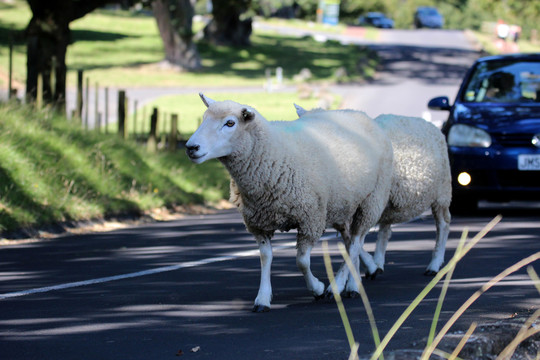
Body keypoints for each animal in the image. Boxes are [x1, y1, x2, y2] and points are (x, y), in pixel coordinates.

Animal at [186, 93, 392, 312]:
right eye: (204, 118)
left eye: (230, 123)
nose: (191, 147)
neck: (274, 154)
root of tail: (360, 114)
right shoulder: (259, 223)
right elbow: (265, 258)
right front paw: (262, 299)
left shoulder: (310, 219)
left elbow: (301, 261)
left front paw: (318, 289)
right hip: (342, 205)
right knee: (351, 242)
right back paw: (354, 283)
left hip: (371, 200)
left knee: (354, 244)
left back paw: (337, 287)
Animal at [296, 104, 452, 278]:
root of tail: (428, 124)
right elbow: (351, 240)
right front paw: (368, 267)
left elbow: (353, 242)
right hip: (387, 202)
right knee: (385, 229)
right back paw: (378, 261)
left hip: (441, 193)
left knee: (443, 224)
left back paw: (435, 264)